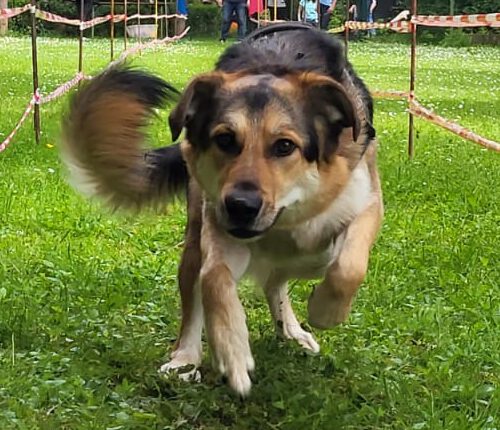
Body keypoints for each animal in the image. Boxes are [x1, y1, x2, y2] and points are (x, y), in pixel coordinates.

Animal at [62, 21, 382, 394]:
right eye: (225, 140)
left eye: (285, 146)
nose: (241, 206)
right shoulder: (218, 225)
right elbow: (214, 278)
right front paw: (231, 350)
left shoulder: (365, 204)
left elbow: (348, 267)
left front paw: (324, 312)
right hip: (196, 239)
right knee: (204, 288)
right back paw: (185, 358)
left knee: (281, 278)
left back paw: (291, 329)